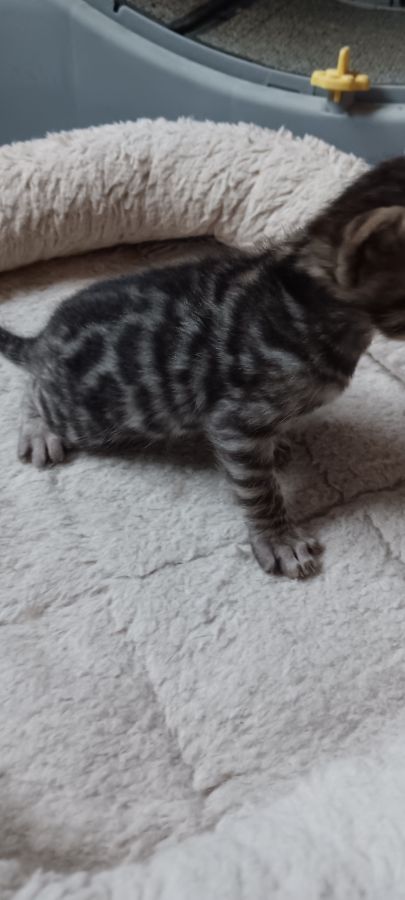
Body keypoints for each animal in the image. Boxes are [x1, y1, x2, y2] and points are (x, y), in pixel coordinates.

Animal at [1, 155, 405, 579]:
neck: (308, 304)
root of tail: (46, 336)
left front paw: (276, 444)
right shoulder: (235, 422)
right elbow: (259, 489)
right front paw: (277, 538)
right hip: (88, 416)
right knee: (33, 389)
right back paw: (38, 428)